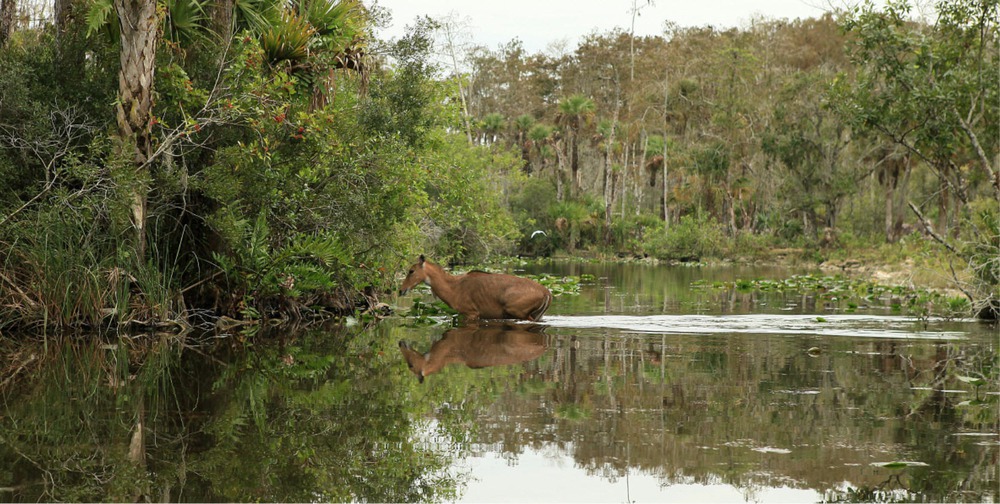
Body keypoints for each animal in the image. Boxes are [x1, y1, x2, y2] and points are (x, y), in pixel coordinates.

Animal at [398, 256, 556, 322]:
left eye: (411, 271)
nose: (401, 290)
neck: (453, 287)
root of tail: (547, 292)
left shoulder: (471, 313)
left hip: (516, 311)